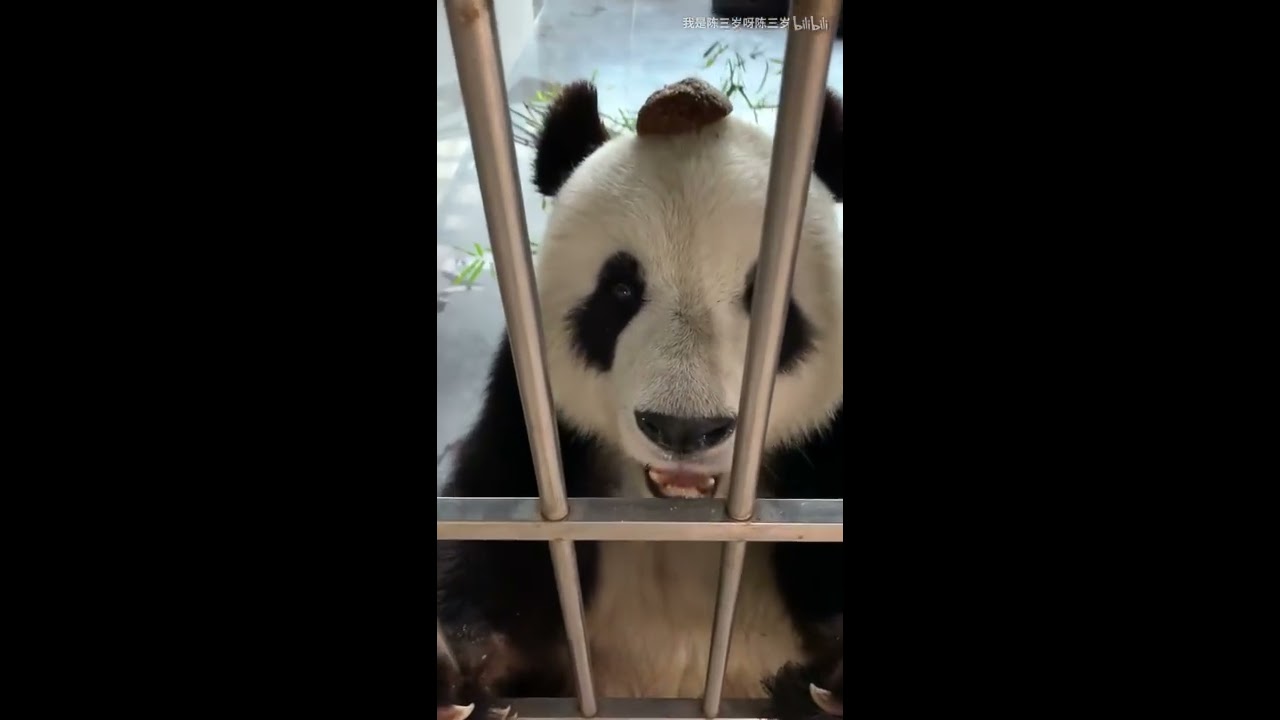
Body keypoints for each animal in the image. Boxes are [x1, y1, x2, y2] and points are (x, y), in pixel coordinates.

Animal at [437, 76, 843, 720]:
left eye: (763, 296)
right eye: (622, 290)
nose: (683, 429)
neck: (680, 519)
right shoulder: (530, 422)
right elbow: (493, 544)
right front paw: (455, 668)